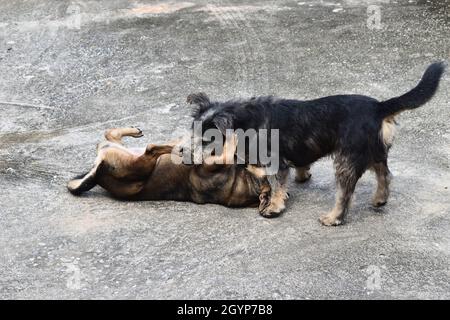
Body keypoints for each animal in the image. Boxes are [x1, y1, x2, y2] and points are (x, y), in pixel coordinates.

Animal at [187, 63, 446, 225]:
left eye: (206, 140)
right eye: (192, 133)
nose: (185, 155)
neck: (243, 119)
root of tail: (379, 107)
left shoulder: (277, 163)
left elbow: (276, 184)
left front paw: (274, 207)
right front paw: (301, 177)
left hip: (347, 159)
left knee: (345, 195)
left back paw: (333, 218)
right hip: (372, 151)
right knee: (385, 174)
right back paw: (380, 198)